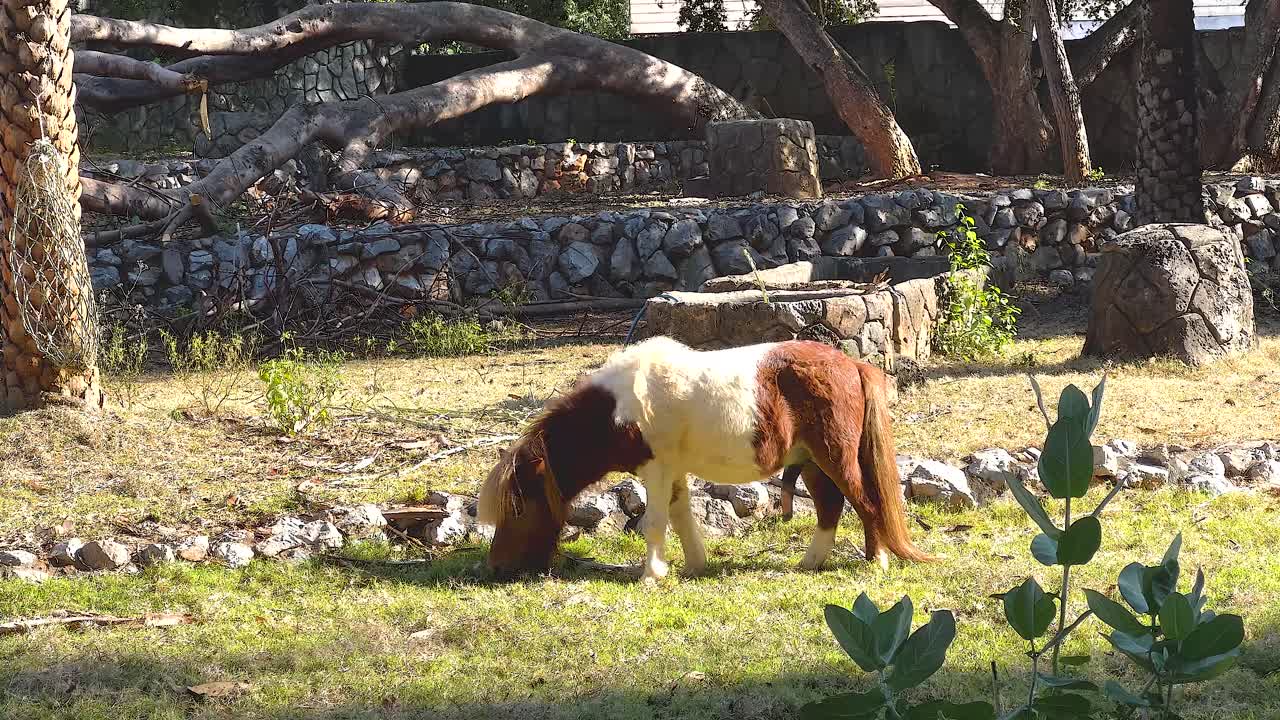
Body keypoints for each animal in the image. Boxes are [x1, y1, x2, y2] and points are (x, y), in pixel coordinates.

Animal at [477, 336, 933, 582]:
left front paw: (651, 575)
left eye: (518, 508)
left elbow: (655, 522)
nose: (495, 568)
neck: (619, 409)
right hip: (813, 462)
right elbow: (681, 517)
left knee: (865, 502)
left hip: (834, 456)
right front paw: (694, 565)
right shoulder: (672, 471)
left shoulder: (656, 469)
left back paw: (876, 563)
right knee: (831, 507)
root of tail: (851, 364)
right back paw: (810, 562)